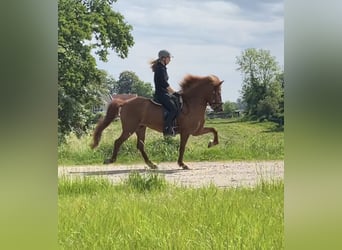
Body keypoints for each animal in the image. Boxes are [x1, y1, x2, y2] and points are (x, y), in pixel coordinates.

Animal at [90, 73, 224, 169]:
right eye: (217, 92)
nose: (220, 108)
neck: (191, 104)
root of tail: (125, 102)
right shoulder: (186, 132)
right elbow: (182, 147)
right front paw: (182, 164)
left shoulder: (196, 131)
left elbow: (214, 130)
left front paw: (212, 143)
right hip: (129, 129)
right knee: (118, 142)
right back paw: (110, 160)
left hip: (140, 128)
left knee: (140, 146)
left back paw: (151, 164)